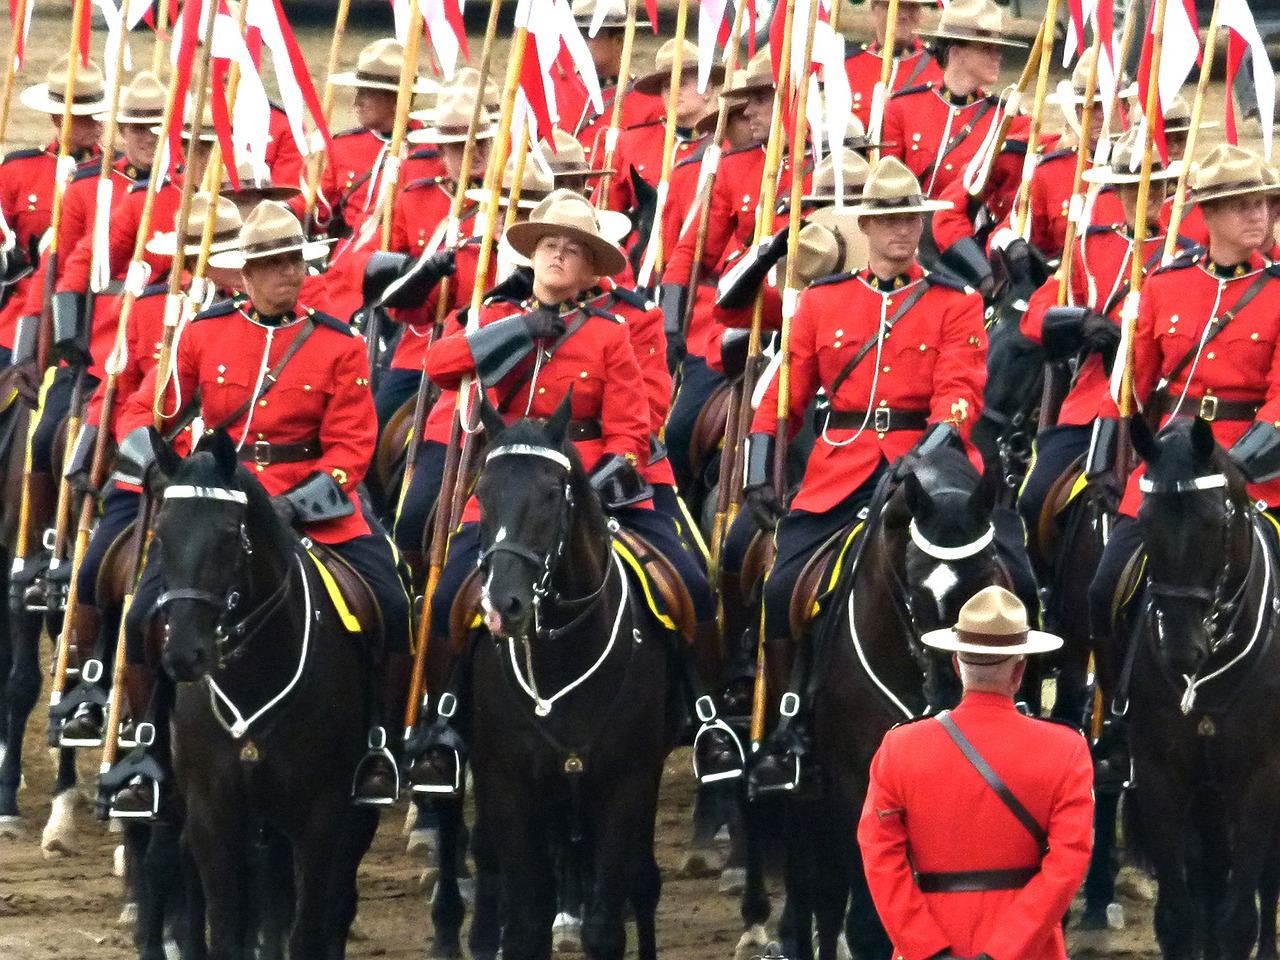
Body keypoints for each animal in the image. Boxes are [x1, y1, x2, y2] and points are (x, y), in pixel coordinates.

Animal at [146, 432, 373, 960]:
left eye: (230, 535)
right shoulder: (212, 815)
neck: (255, 677)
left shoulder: (321, 815)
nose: (184, 654)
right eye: (161, 536)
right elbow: (227, 929)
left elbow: (308, 929)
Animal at [450, 396, 686, 960]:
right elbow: (526, 926)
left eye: (553, 494)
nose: (503, 607)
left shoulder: (626, 782)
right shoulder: (509, 784)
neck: (563, 653)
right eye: (482, 493)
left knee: (641, 882)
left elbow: (606, 928)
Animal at [737, 448, 1024, 960]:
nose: (951, 692)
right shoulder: (855, 782)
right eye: (913, 587)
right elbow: (868, 921)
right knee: (815, 889)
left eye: (987, 579)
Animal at [1121, 419, 1280, 960]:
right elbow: (1179, 917)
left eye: (1213, 522)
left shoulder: (1260, 777)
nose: (1180, 651)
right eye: (1145, 522)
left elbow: (1239, 918)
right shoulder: (1158, 773)